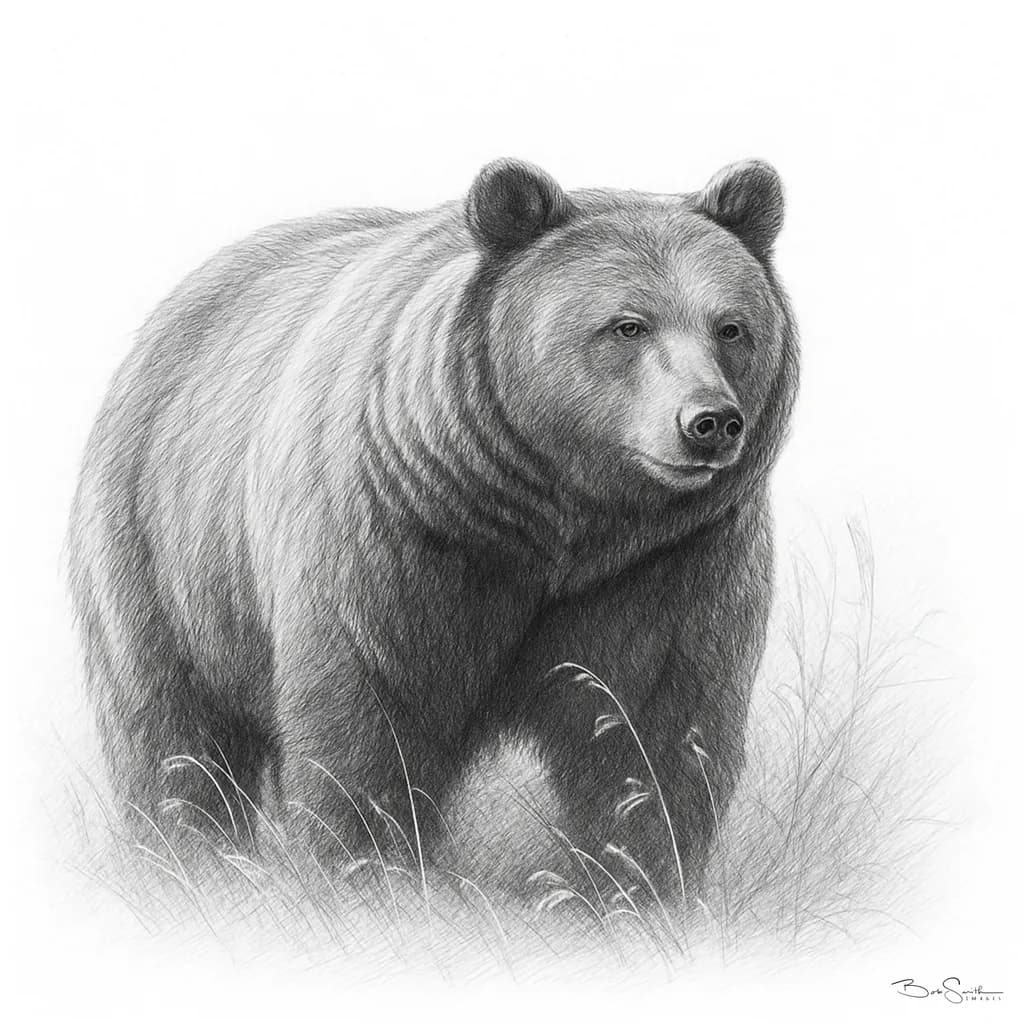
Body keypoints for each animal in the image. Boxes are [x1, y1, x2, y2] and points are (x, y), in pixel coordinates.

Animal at [67, 158, 798, 896]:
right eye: (628, 325)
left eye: (731, 327)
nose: (710, 421)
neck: (560, 520)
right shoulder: (396, 539)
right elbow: (367, 723)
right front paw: (365, 870)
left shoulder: (668, 564)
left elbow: (651, 733)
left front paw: (629, 882)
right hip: (163, 553)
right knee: (174, 737)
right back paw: (187, 859)